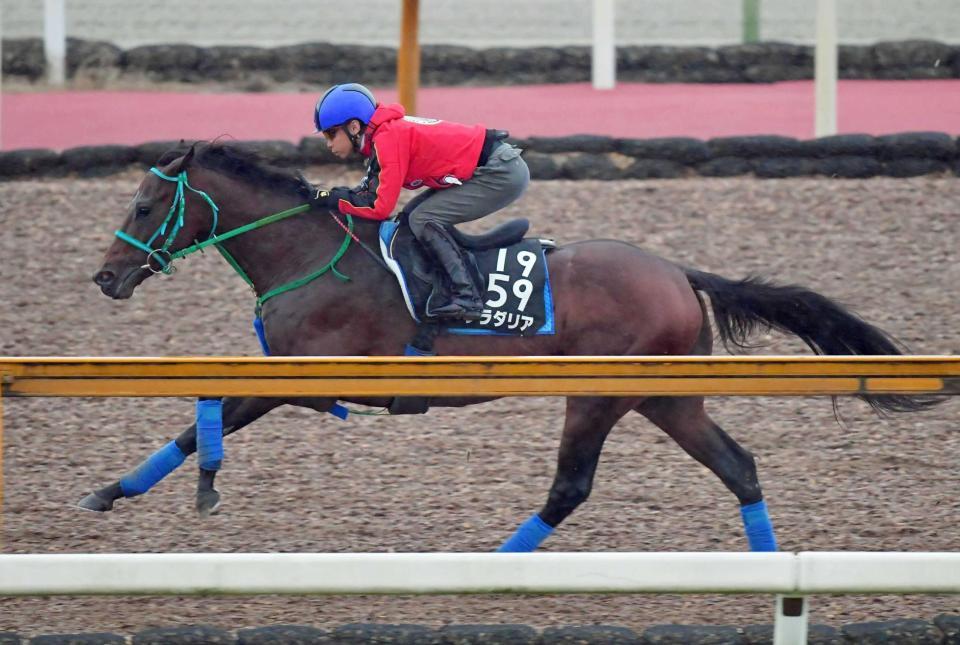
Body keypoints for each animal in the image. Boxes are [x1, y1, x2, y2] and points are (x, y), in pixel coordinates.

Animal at [86, 143, 932, 552]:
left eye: (146, 203)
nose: (105, 276)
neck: (310, 253)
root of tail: (677, 270)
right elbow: (202, 411)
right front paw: (116, 490)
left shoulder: (299, 375)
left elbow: (206, 414)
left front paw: (152, 486)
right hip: (667, 396)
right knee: (740, 467)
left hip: (600, 393)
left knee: (571, 487)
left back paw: (492, 565)